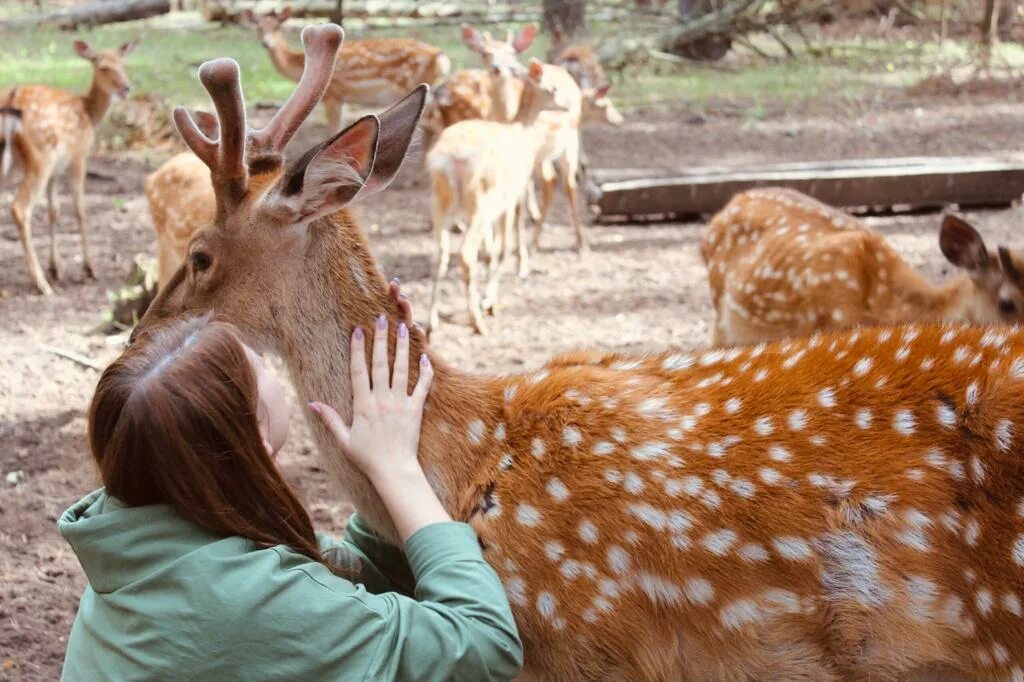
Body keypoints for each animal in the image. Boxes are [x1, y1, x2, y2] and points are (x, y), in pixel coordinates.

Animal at [0, 37, 138, 292]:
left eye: (123, 64)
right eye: (104, 67)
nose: (126, 88)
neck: (89, 113)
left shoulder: (56, 171)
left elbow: (54, 210)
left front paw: (56, 268)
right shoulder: (78, 157)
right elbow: (80, 209)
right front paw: (89, 268)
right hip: (41, 155)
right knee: (20, 209)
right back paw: (41, 284)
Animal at [241, 5, 450, 131]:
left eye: (277, 26)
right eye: (259, 26)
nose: (266, 43)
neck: (298, 67)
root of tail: (442, 58)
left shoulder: (333, 95)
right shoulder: (342, 99)